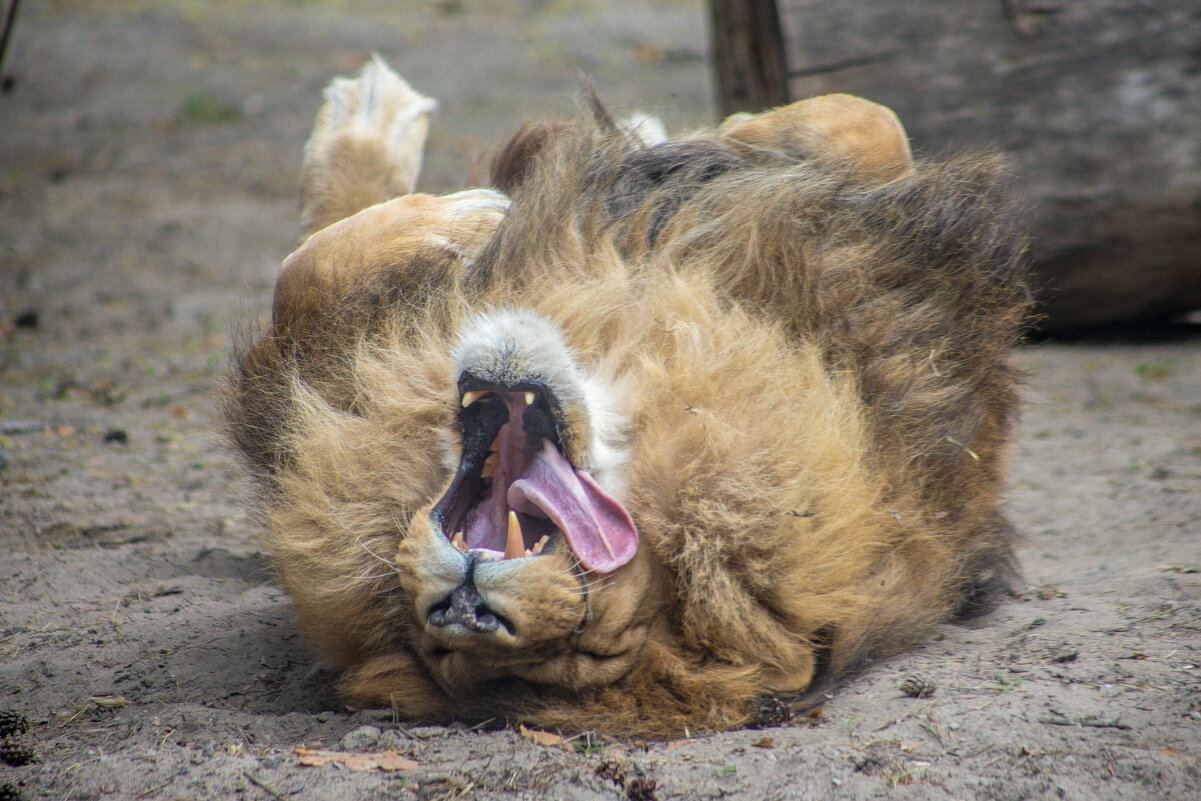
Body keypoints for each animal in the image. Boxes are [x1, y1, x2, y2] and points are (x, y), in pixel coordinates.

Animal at [226, 57, 1032, 739]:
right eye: (436, 638)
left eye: (585, 637)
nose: (467, 604)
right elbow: (309, 270)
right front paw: (470, 217)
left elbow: (866, 118)